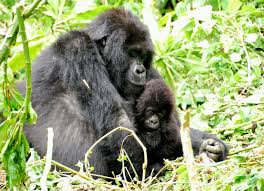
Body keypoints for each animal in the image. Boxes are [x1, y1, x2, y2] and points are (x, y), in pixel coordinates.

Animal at [20, 7, 227, 178]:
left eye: (143, 56)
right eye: (132, 53)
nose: (140, 70)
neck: (100, 52)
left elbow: (171, 126)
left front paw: (207, 146)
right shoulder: (78, 49)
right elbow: (118, 124)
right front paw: (145, 172)